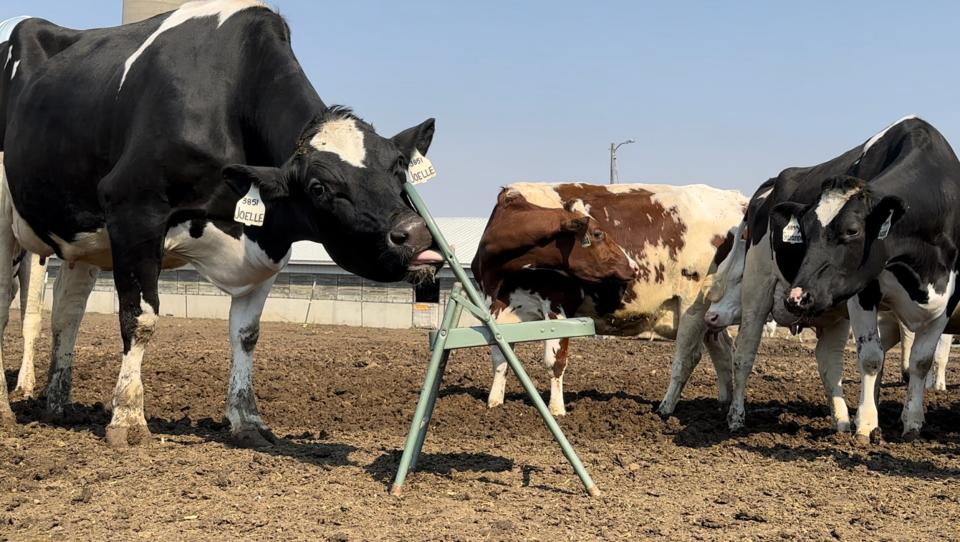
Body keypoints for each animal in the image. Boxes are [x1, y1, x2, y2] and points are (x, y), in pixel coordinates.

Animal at [0, 2, 442, 448]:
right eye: (319, 187)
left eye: (399, 169)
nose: (417, 234)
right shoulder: (134, 211)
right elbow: (139, 318)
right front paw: (127, 418)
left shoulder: (268, 245)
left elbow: (246, 334)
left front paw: (247, 421)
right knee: (8, 305)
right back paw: (7, 410)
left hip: (83, 241)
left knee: (66, 312)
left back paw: (58, 405)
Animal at [472, 183, 752, 416]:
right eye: (598, 234)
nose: (632, 266)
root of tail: (738, 200)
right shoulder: (498, 307)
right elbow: (500, 356)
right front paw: (495, 402)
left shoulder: (557, 305)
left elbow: (555, 361)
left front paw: (556, 409)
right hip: (711, 314)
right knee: (722, 349)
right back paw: (723, 403)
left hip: (692, 305)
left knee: (688, 356)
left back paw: (666, 407)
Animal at [728, 116, 960, 442]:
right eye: (805, 231)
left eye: (852, 230)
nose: (798, 296)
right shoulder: (864, 291)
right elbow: (872, 357)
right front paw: (866, 425)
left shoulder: (949, 296)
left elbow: (921, 361)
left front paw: (913, 423)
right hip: (757, 282)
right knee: (745, 350)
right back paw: (736, 417)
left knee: (827, 358)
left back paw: (840, 422)